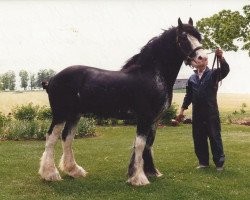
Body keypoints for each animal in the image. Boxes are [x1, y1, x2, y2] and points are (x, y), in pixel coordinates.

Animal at [39, 18, 206, 185]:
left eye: (199, 36)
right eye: (183, 37)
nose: (202, 58)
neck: (152, 74)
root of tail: (52, 79)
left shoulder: (154, 120)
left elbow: (149, 143)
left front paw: (151, 172)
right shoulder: (144, 118)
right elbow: (140, 144)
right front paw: (138, 178)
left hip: (74, 115)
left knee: (67, 138)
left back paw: (74, 170)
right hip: (60, 115)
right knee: (51, 138)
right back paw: (50, 174)